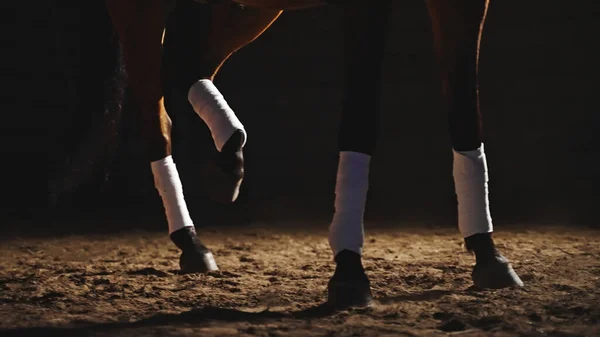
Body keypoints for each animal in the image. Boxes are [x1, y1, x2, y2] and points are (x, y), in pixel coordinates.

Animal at [105, 0, 524, 308]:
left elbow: (466, 117)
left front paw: (488, 254)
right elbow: (359, 120)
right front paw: (350, 273)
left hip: (246, 8)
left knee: (185, 66)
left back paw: (225, 165)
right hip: (143, 9)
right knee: (157, 117)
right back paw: (191, 234)